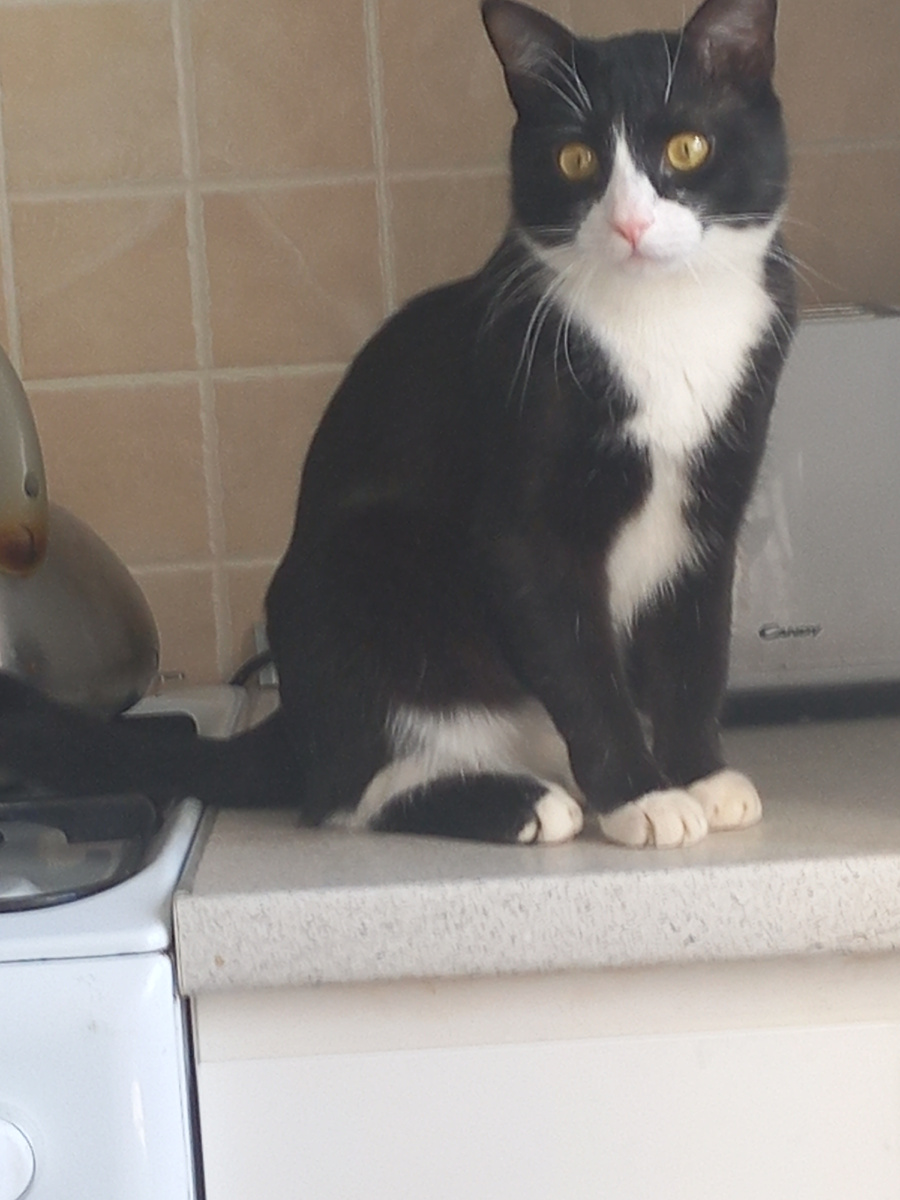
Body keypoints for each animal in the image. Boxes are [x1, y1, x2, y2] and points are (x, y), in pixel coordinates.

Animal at [0, 0, 795, 848]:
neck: (663, 325)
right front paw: (641, 797)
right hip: (359, 573)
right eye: (576, 159)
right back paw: (520, 802)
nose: (632, 226)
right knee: (351, 794)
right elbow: (581, 667)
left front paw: (701, 778)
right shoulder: (525, 527)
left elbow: (693, 654)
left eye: (688, 147)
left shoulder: (709, 513)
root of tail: (295, 726)